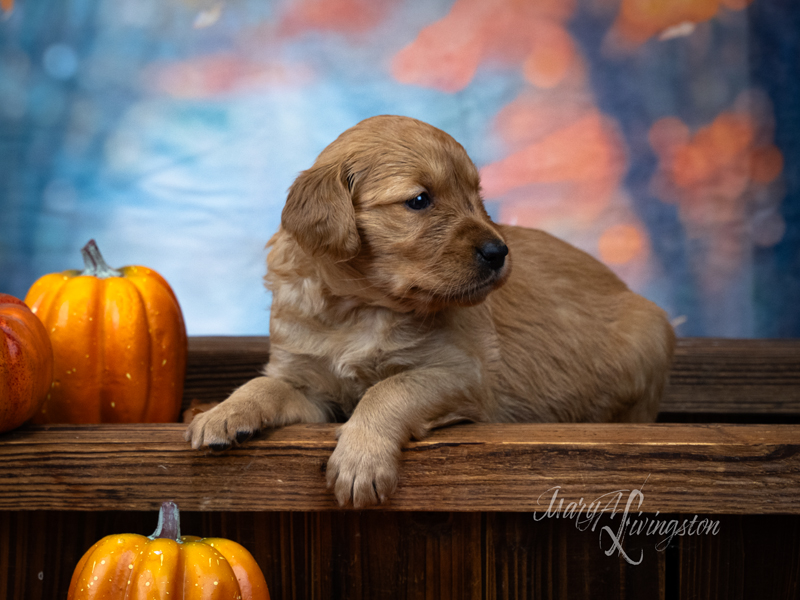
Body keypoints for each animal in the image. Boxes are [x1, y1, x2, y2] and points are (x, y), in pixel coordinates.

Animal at [186, 113, 676, 506]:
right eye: (420, 200)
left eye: (477, 197)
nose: (500, 252)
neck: (360, 308)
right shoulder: (311, 386)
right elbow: (265, 385)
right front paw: (223, 412)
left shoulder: (461, 375)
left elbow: (390, 389)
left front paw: (360, 459)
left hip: (650, 334)